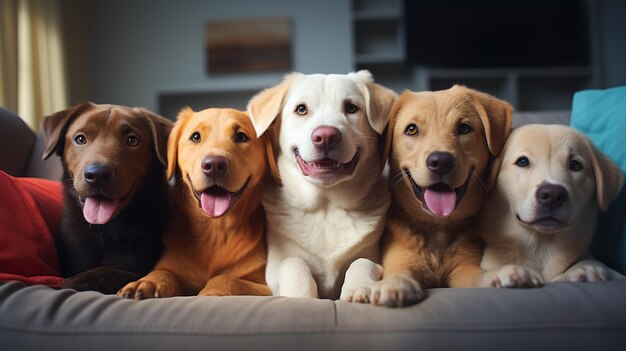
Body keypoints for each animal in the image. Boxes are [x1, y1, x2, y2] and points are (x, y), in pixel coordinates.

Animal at [245, 70, 394, 302]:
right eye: (301, 109)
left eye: (351, 107)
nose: (326, 136)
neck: (326, 205)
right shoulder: (274, 267)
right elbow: (293, 263)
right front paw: (300, 295)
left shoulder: (373, 257)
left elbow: (362, 262)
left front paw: (358, 289)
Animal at [478, 125, 620, 288]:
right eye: (522, 161)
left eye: (575, 165)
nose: (553, 195)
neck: (541, 247)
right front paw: (505, 274)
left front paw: (586, 268)